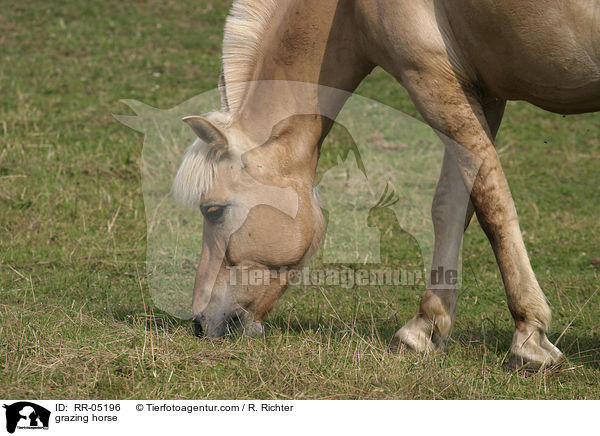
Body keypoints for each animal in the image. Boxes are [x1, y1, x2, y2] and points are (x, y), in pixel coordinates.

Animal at [171, 0, 596, 368]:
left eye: (213, 209)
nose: (199, 323)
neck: (346, 7)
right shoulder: (480, 93)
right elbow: (451, 206)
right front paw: (423, 327)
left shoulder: (432, 81)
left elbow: (492, 203)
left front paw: (529, 336)